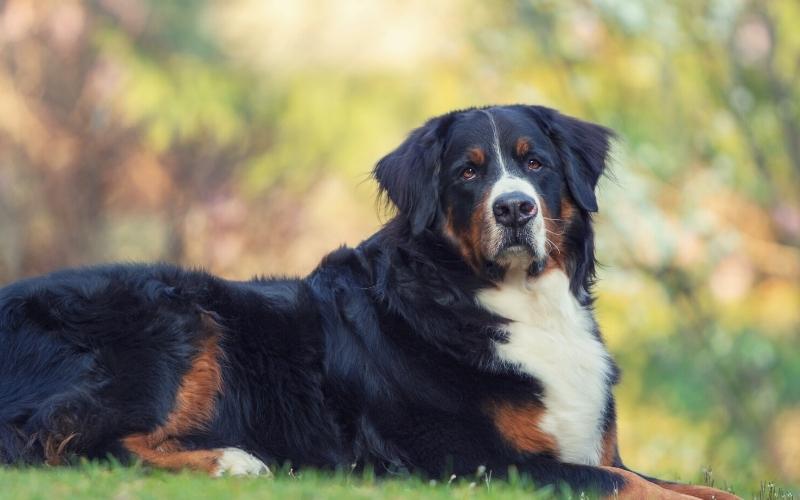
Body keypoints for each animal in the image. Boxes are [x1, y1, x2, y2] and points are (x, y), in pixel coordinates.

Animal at [0, 104, 736, 496]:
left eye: (535, 163)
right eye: (469, 171)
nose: (515, 208)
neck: (513, 302)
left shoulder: (592, 450)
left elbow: (680, 482)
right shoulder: (478, 461)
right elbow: (628, 486)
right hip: (174, 315)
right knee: (76, 443)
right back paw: (231, 459)